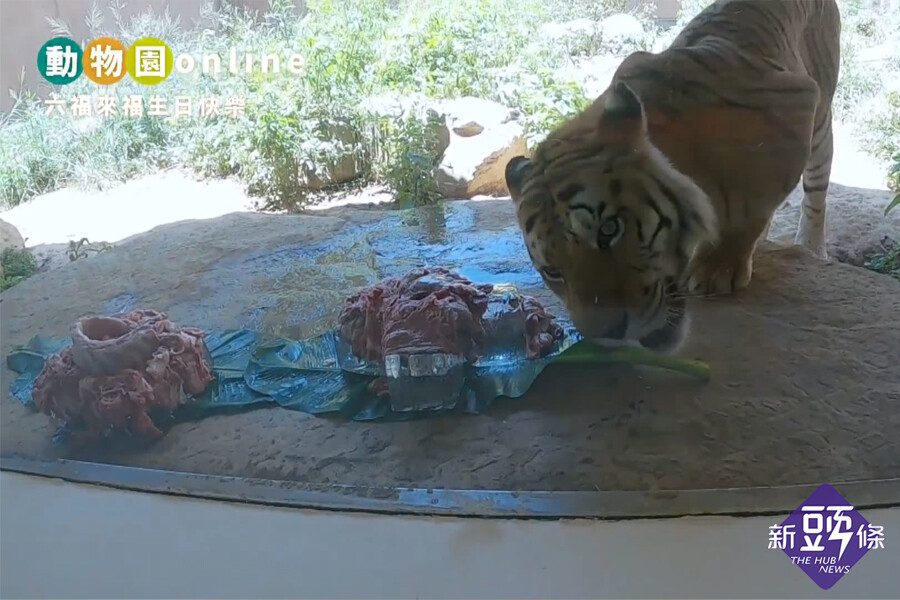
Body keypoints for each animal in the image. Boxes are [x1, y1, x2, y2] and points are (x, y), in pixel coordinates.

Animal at [506, 0, 844, 352]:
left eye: (609, 229)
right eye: (551, 271)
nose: (607, 335)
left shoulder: (796, 107)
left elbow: (753, 210)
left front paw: (718, 268)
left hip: (821, 127)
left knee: (816, 195)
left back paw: (811, 247)